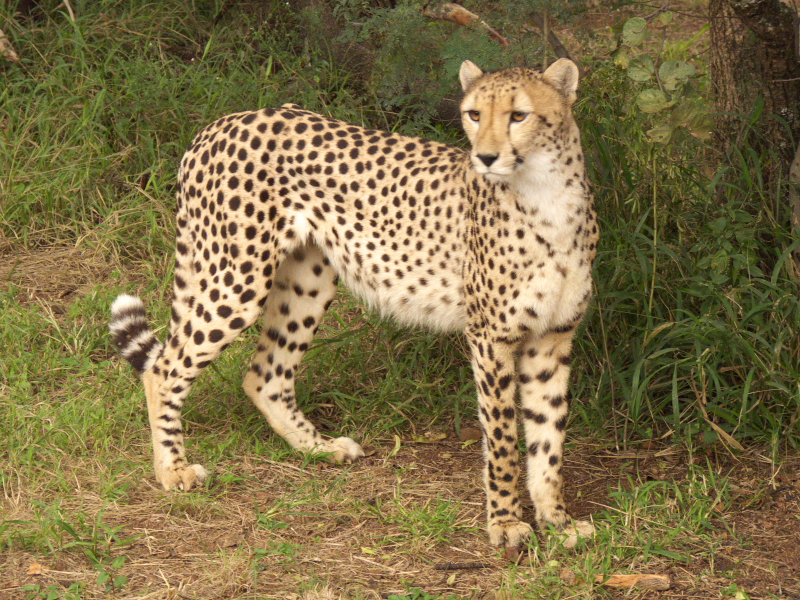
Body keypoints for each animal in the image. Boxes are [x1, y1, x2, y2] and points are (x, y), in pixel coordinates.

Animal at [110, 58, 599, 549]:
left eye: (519, 115)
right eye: (474, 114)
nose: (486, 157)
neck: (546, 194)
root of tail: (224, 122)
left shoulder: (552, 340)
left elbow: (548, 437)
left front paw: (557, 520)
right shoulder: (490, 338)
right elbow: (502, 438)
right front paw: (506, 522)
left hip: (308, 281)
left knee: (264, 374)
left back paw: (319, 448)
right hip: (236, 279)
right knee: (164, 369)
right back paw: (172, 470)